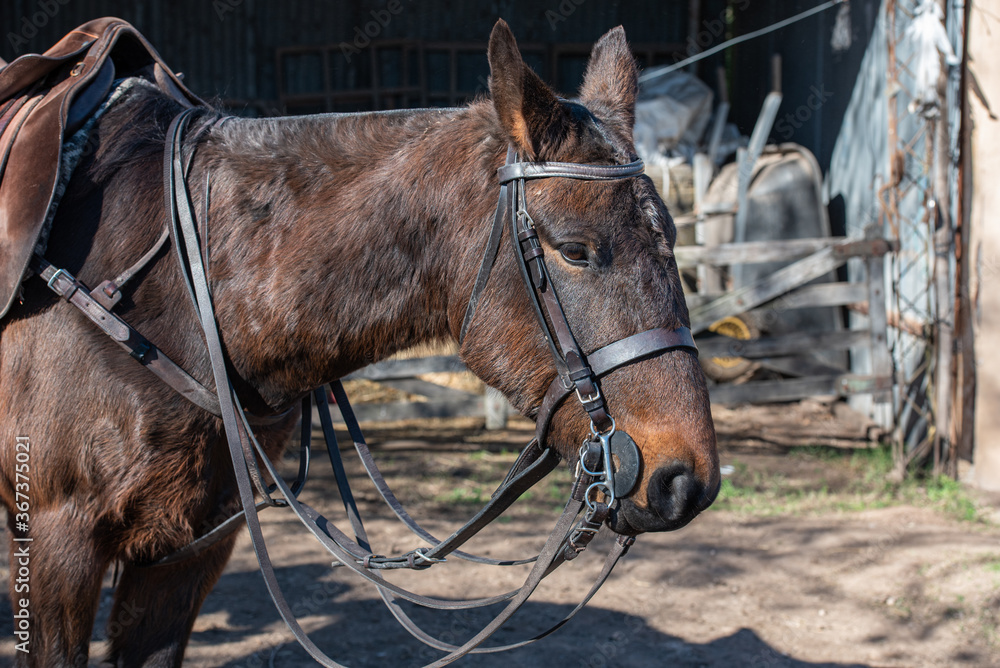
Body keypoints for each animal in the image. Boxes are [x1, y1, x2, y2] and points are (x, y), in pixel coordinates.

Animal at [0, 20, 719, 667]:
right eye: (573, 249)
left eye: (671, 235)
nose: (686, 481)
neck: (179, 291)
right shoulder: (60, 542)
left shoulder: (189, 548)